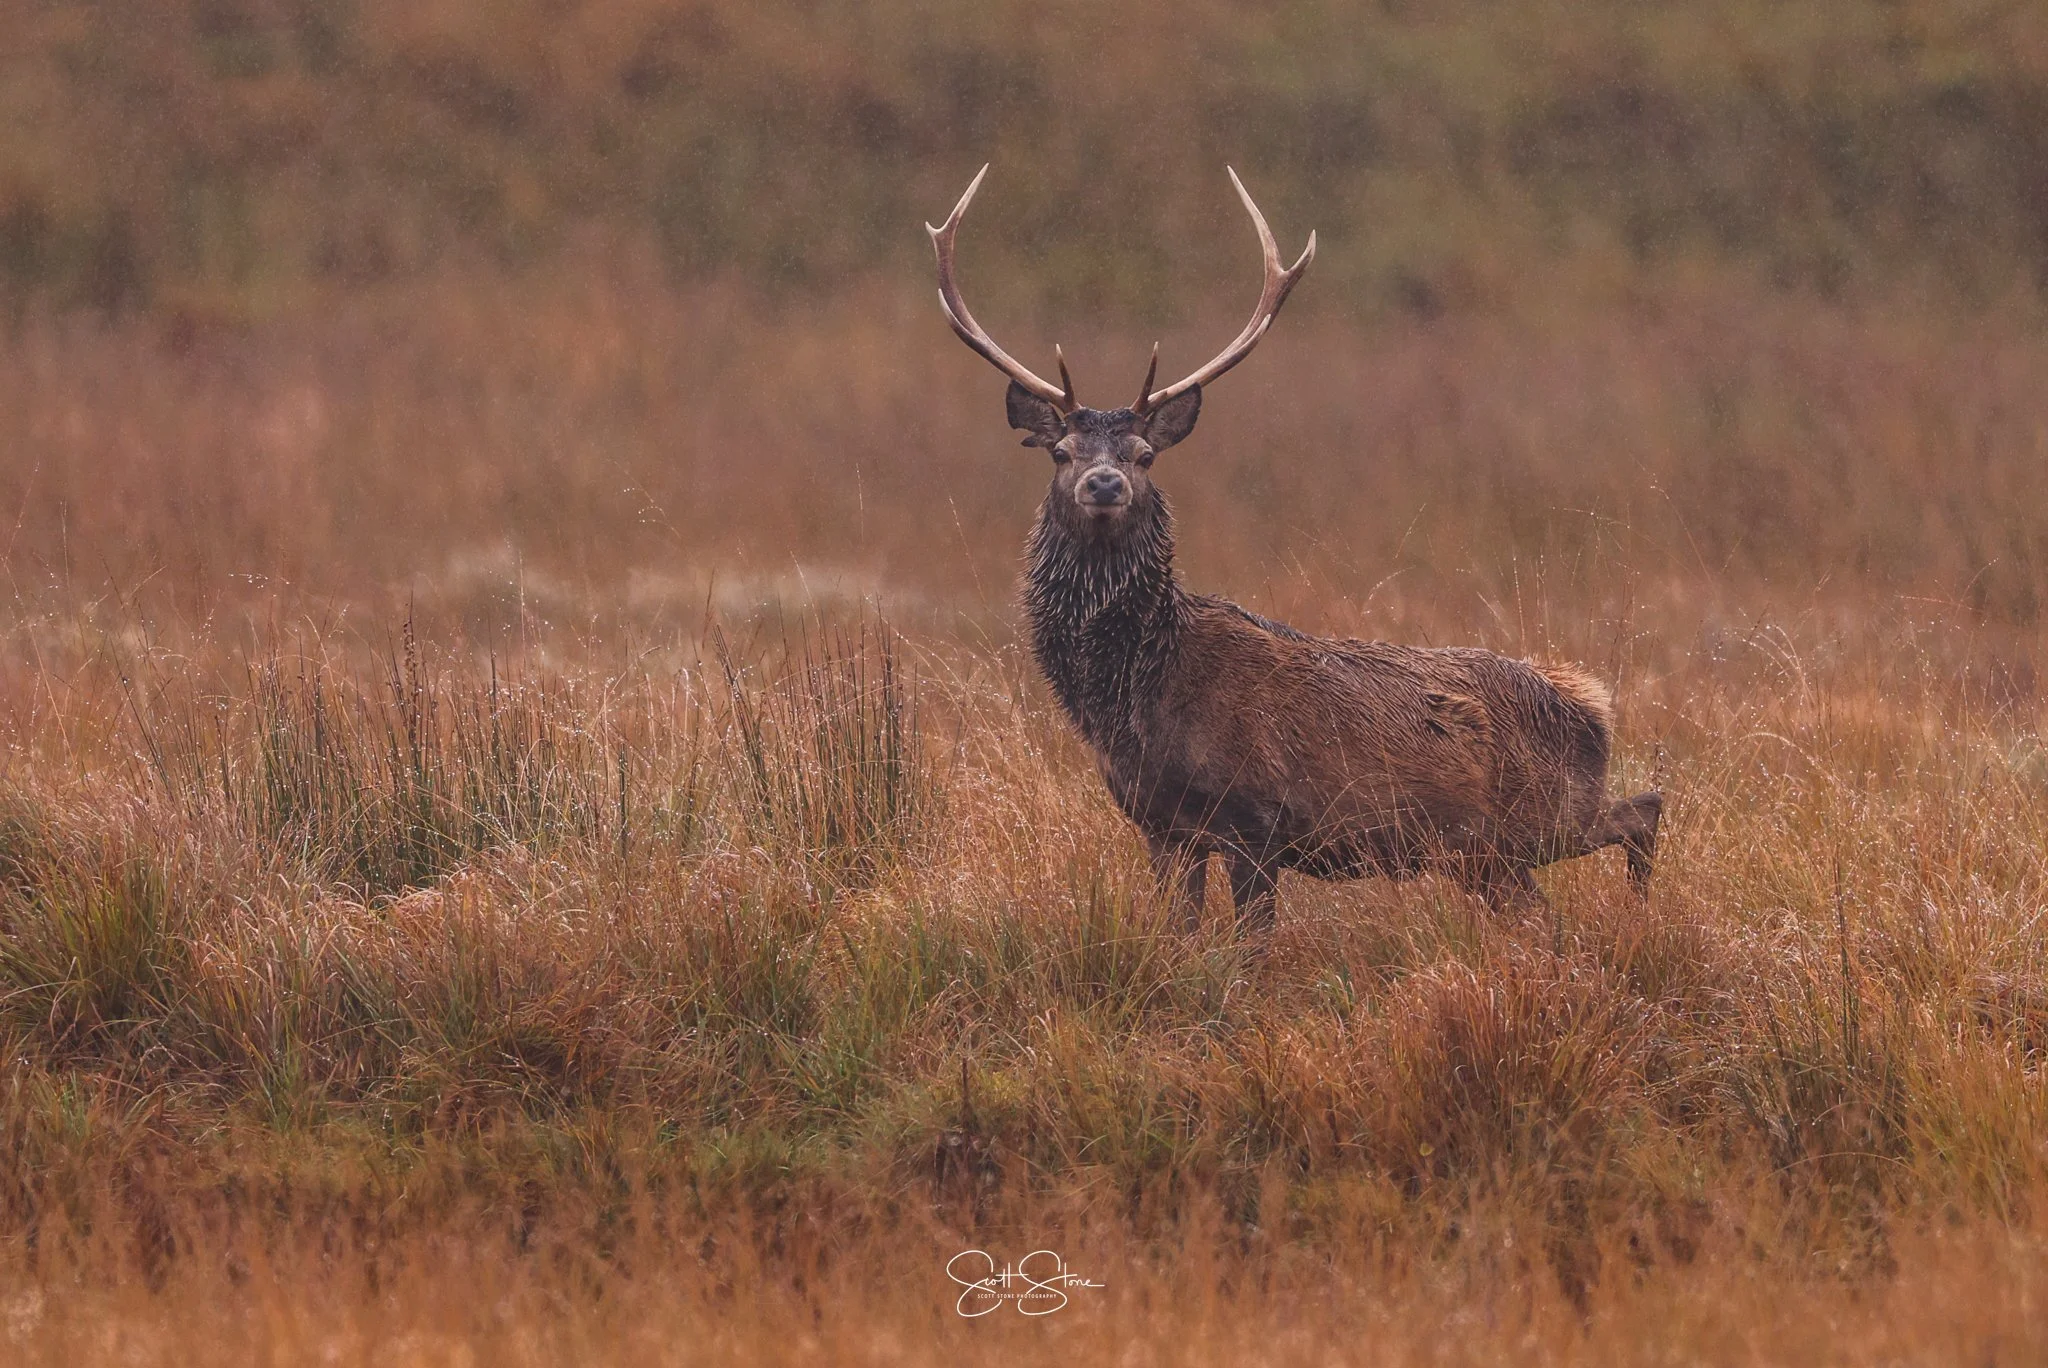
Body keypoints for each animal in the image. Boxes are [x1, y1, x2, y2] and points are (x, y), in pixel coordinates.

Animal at [926, 165, 1663, 931]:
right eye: (1061, 452)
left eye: (1144, 455)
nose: (1104, 483)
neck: (1132, 699)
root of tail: (1593, 705)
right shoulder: (1161, 827)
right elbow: (1181, 934)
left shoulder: (1257, 820)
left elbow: (1250, 944)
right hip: (1488, 855)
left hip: (1538, 816)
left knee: (1644, 808)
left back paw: (1640, 909)